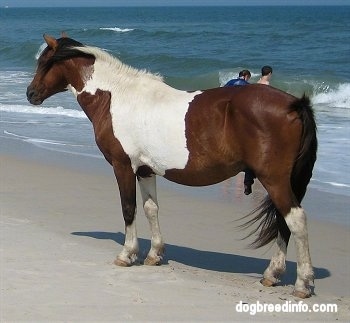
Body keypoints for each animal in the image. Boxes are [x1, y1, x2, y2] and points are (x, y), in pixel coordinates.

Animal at [27, 34, 318, 298]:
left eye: (44, 62)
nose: (30, 94)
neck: (116, 96)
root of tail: (295, 104)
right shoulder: (145, 170)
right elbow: (151, 209)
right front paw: (154, 255)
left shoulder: (123, 166)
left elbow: (129, 208)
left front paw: (127, 254)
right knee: (283, 222)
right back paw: (272, 274)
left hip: (275, 179)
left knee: (295, 220)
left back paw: (302, 283)